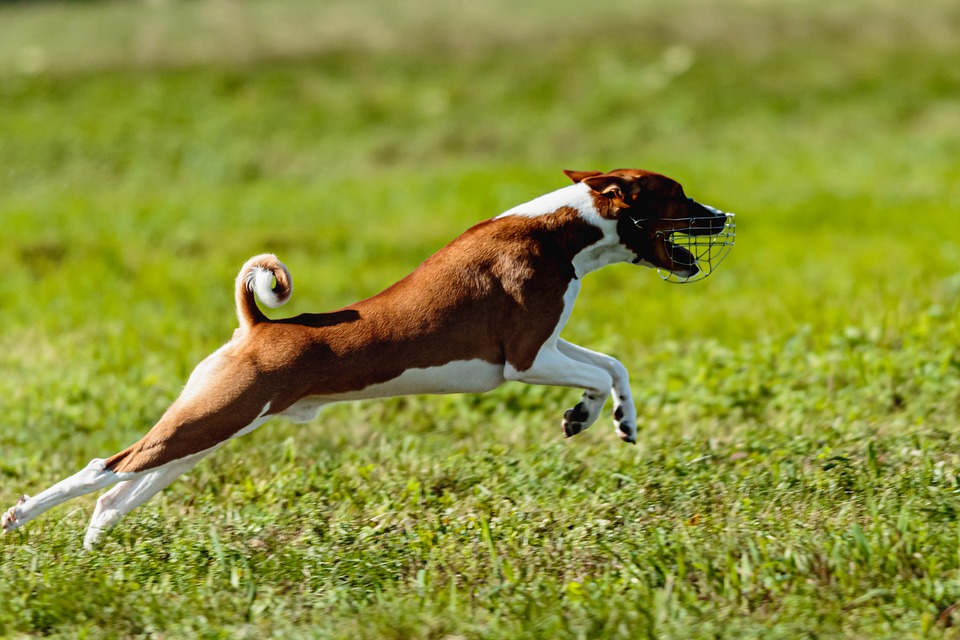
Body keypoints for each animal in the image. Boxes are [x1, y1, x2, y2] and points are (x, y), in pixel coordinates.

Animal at [1, 168, 736, 548]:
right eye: (677, 195)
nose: (725, 215)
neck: (559, 232)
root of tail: (256, 325)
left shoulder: (549, 347)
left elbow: (613, 367)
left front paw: (605, 419)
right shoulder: (525, 359)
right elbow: (603, 368)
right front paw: (594, 414)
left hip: (210, 431)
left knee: (117, 493)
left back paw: (95, 550)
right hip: (208, 421)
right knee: (103, 469)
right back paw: (20, 517)